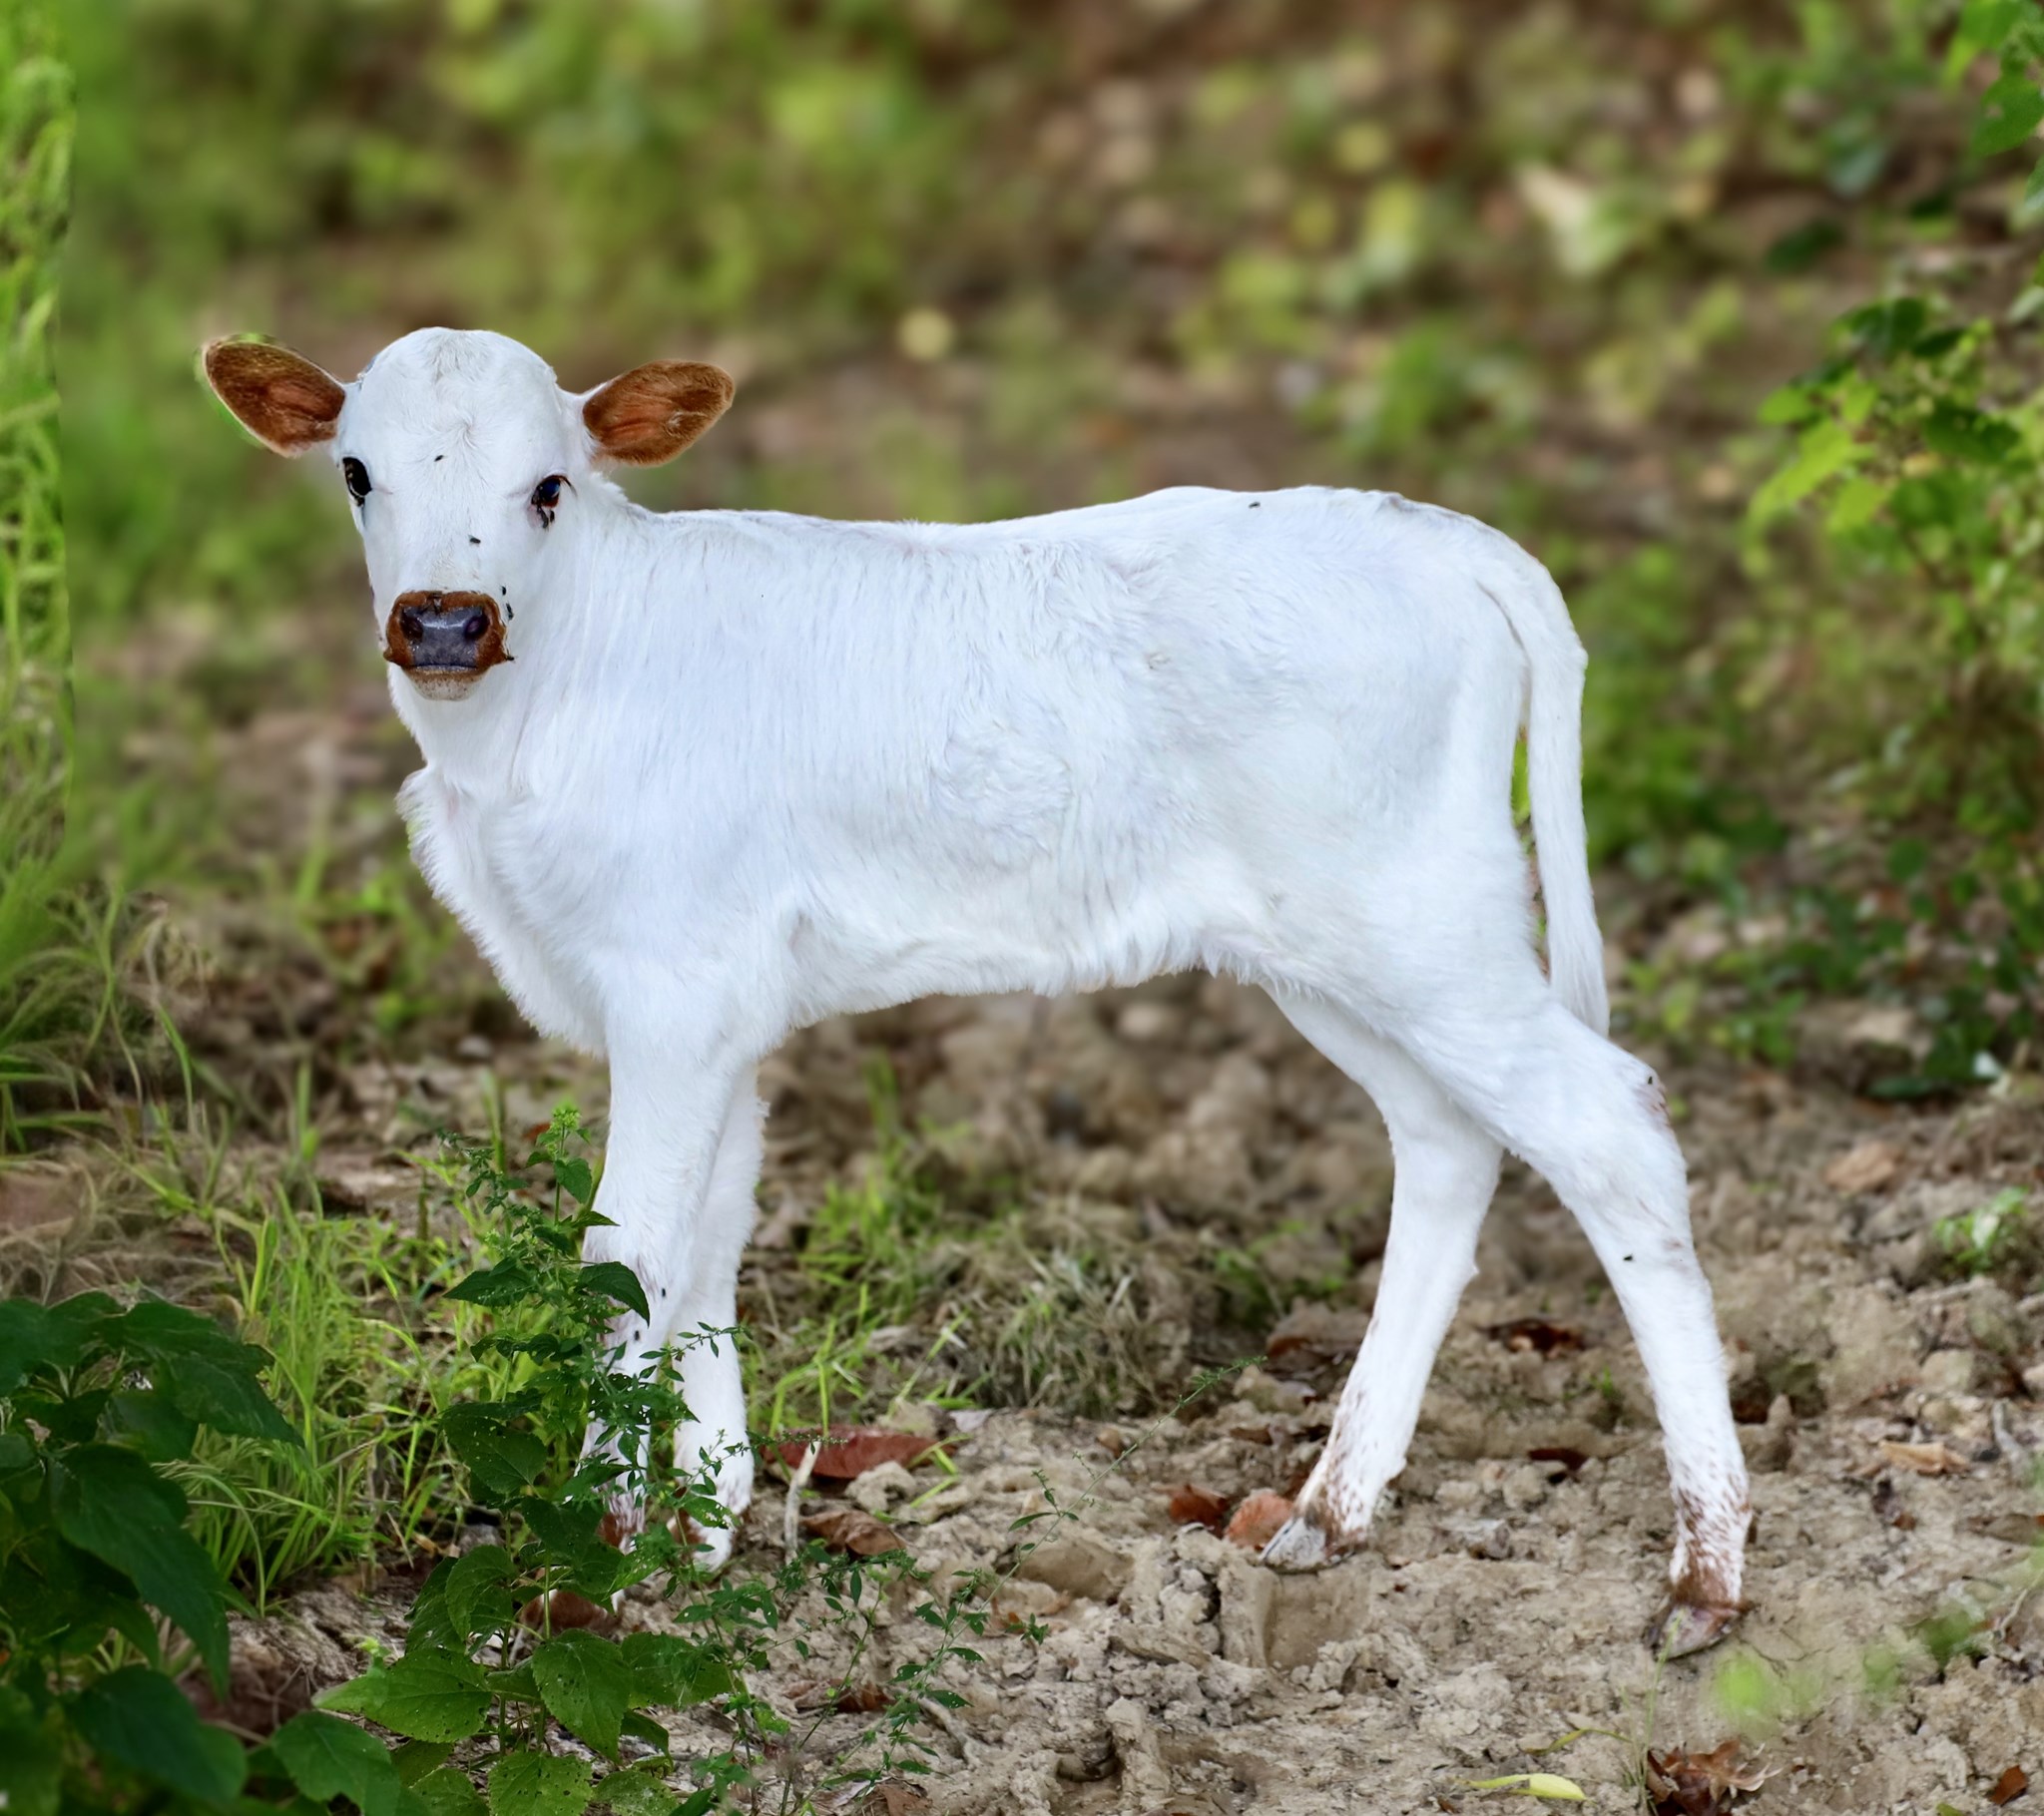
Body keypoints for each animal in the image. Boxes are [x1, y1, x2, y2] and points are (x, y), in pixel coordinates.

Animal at [203, 326, 1749, 1653]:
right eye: (357, 472)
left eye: (549, 484)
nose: (443, 622)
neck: (518, 735)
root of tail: (1439, 534)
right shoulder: (722, 1012)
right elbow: (708, 1240)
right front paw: (699, 1528)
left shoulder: (674, 991)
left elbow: (624, 1257)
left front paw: (589, 1558)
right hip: (1337, 948)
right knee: (1443, 1138)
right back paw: (1330, 1509)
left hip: (1421, 918)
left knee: (1605, 1126)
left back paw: (1706, 1576)